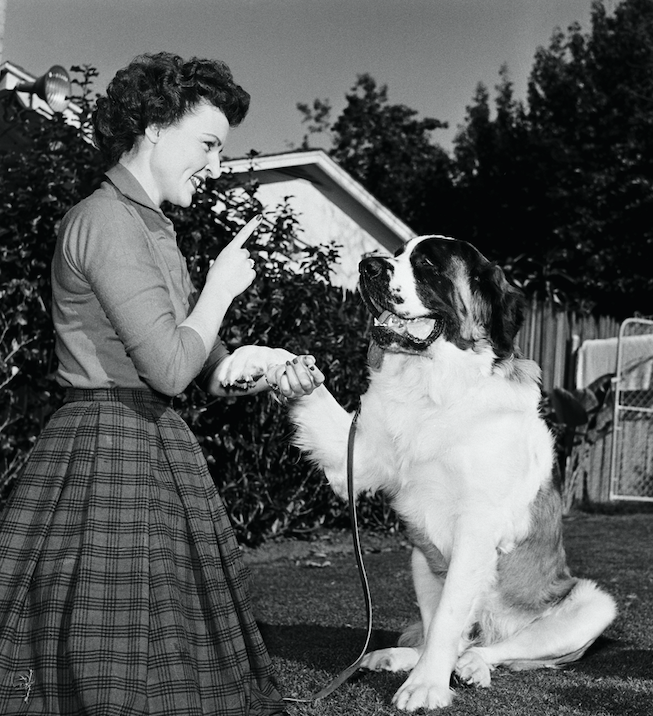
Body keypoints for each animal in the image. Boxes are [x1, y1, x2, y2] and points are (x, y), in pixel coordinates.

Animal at [290, 234, 616, 712]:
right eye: (397, 253)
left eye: (427, 265)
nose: (368, 266)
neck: (436, 387)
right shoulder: (357, 459)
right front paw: (279, 366)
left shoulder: (476, 531)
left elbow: (448, 617)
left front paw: (426, 686)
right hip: (420, 557)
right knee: (444, 633)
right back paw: (398, 656)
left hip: (593, 605)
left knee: (494, 647)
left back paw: (471, 666)